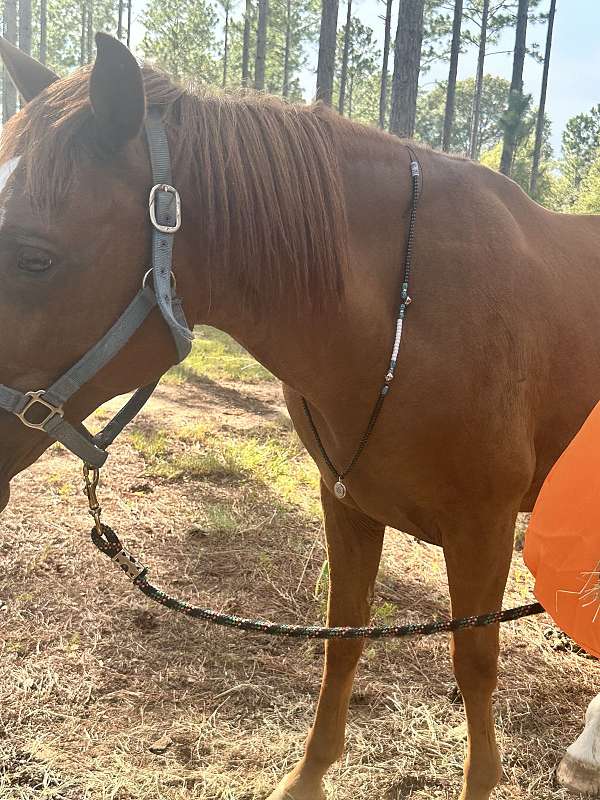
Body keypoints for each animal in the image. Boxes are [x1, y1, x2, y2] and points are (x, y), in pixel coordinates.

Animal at [1, 32, 600, 800]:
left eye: (34, 258)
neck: (408, 314)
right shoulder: (347, 503)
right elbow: (342, 641)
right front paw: (308, 775)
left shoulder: (483, 527)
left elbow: (474, 665)